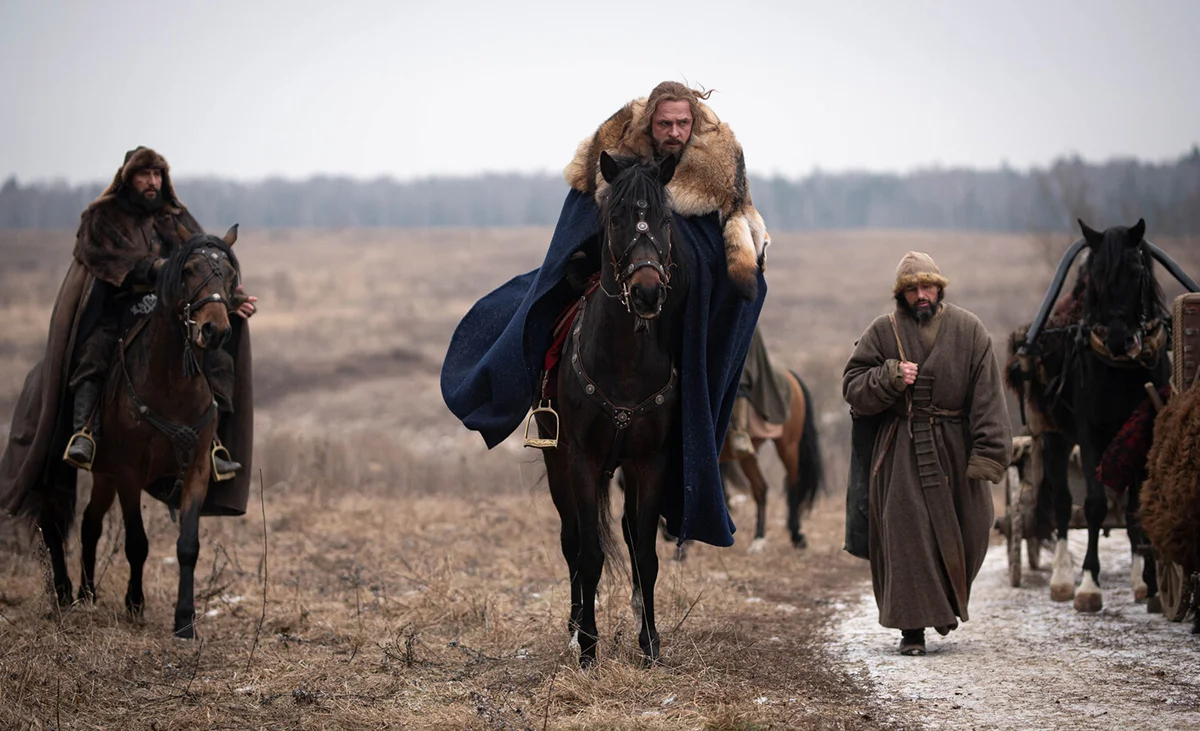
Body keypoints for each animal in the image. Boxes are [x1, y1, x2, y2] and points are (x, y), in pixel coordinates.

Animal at [41, 225, 242, 638]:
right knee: (63, 523)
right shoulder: (129, 472)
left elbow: (188, 545)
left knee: (90, 524)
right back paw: (69, 594)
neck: (171, 385)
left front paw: (185, 620)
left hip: (104, 476)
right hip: (92, 470)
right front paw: (135, 604)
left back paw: (86, 593)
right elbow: (137, 542)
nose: (215, 331)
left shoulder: (197, 469)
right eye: (189, 270)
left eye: (230, 275)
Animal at [535, 151, 686, 668]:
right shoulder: (582, 459)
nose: (646, 293)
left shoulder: (650, 462)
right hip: (558, 464)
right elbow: (588, 554)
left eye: (664, 220)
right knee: (571, 539)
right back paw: (574, 628)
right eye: (616, 219)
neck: (622, 363)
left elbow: (645, 553)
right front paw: (588, 647)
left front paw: (651, 644)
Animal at [718, 370, 824, 553]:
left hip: (788, 446)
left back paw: (796, 535)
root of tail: (789, 374)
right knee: (760, 488)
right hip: (749, 455)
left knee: (793, 484)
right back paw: (758, 539)